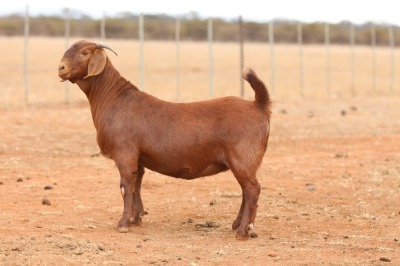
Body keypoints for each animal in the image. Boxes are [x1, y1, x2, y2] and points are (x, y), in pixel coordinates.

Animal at [57, 40, 272, 240]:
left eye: (85, 52)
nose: (61, 68)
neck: (115, 98)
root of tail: (258, 106)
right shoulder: (138, 158)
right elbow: (137, 185)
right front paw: (136, 218)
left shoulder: (125, 153)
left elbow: (126, 186)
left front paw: (123, 224)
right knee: (246, 190)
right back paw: (238, 225)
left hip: (242, 158)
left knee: (252, 189)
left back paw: (243, 230)